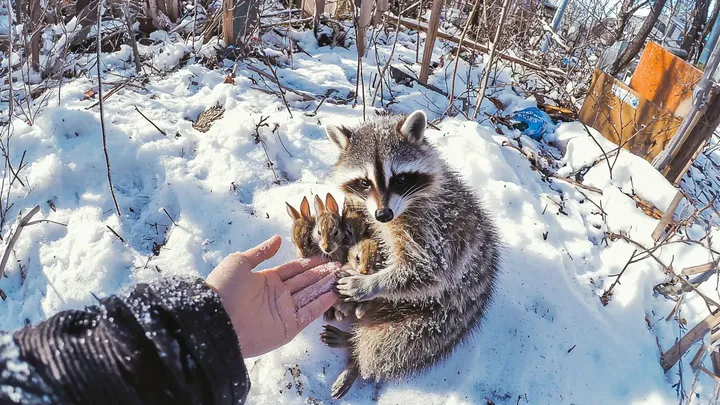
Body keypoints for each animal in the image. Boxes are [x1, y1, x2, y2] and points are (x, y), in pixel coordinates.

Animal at [320, 110, 501, 398]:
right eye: (364, 182)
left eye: (401, 179)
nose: (383, 214)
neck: (404, 206)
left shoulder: (435, 227)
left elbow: (427, 271)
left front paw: (370, 284)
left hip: (434, 326)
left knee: (386, 346)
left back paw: (355, 360)